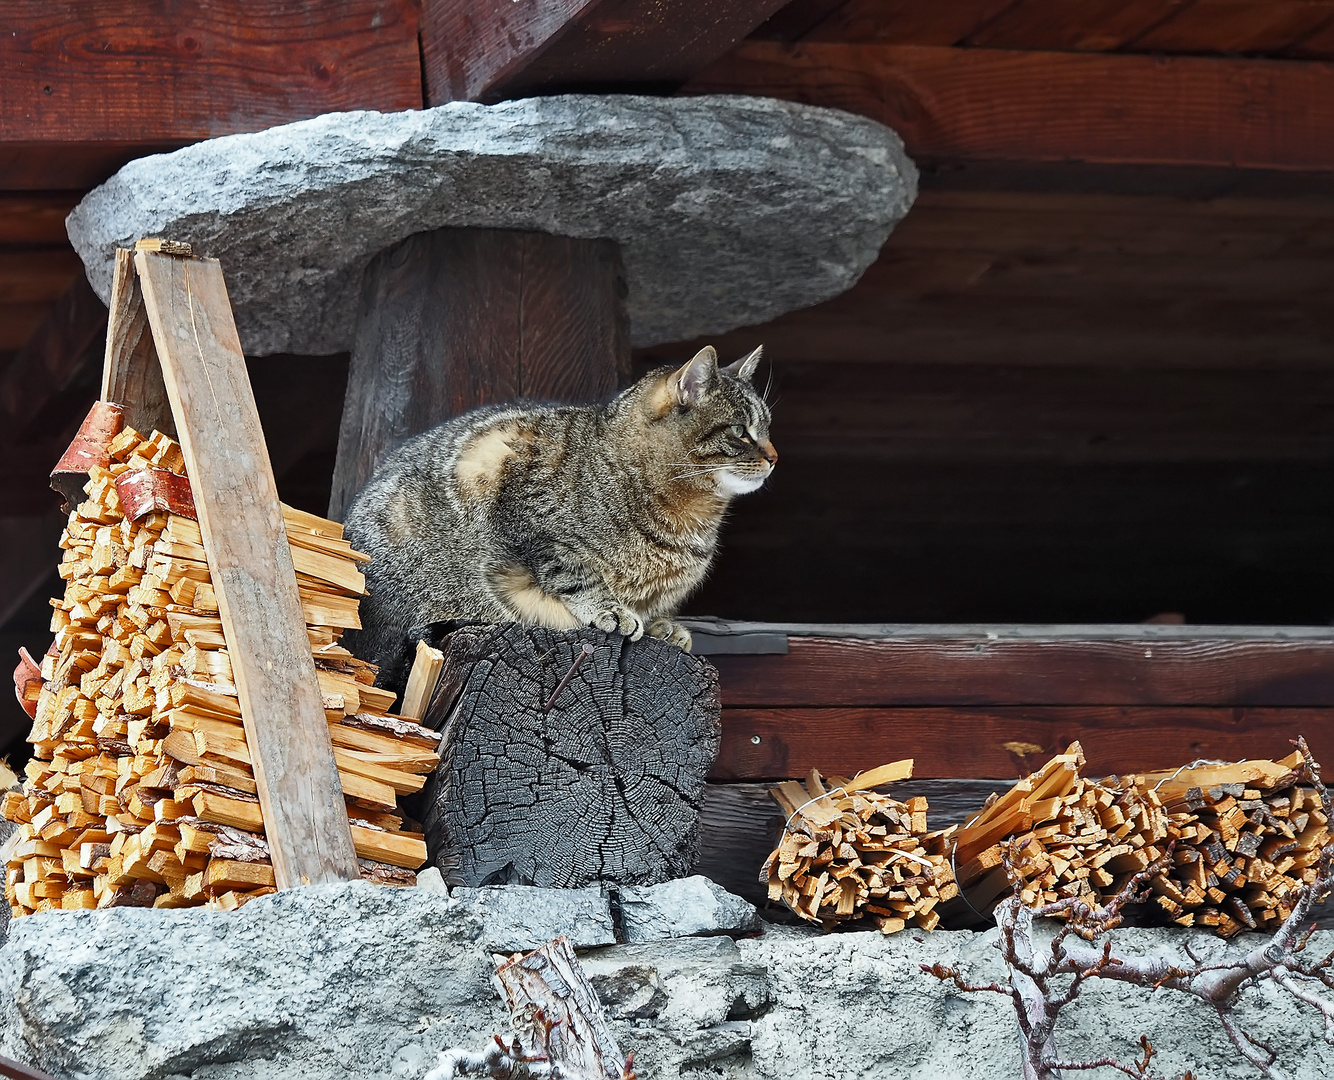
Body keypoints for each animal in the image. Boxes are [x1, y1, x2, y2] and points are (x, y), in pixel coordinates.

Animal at [344, 344, 779, 682]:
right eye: (740, 431)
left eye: (768, 429)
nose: (775, 457)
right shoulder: (519, 499)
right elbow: (574, 573)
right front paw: (610, 608)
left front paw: (662, 624)